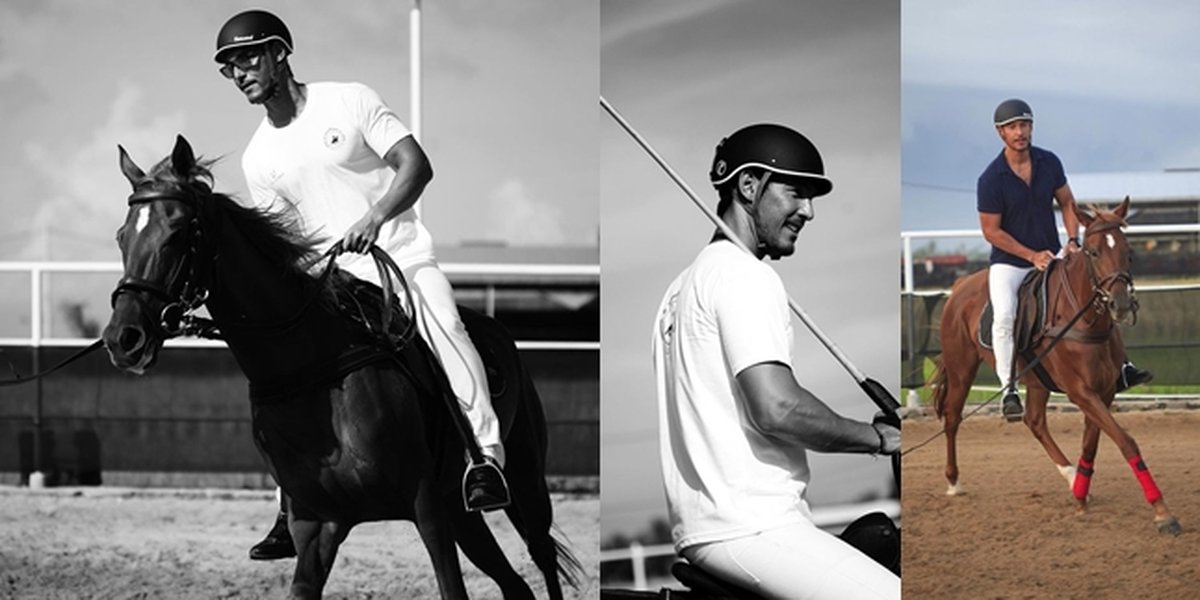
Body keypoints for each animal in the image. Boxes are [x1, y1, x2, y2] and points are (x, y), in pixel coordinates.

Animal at [103, 133, 580, 597]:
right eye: (122, 236)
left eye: (178, 231)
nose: (124, 338)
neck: (311, 367)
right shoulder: (318, 526)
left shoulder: (427, 509)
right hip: (462, 513)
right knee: (517, 586)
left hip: (524, 484)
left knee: (542, 559)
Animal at [926, 196, 1180, 535]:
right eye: (1094, 252)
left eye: (1129, 251)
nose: (1122, 305)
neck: (1085, 321)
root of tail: (962, 284)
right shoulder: (1080, 392)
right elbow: (1126, 442)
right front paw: (1163, 512)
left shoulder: (1103, 392)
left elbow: (1091, 445)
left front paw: (1081, 496)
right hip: (961, 368)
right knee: (953, 417)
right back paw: (954, 482)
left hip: (1035, 380)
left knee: (1034, 421)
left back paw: (1072, 478)